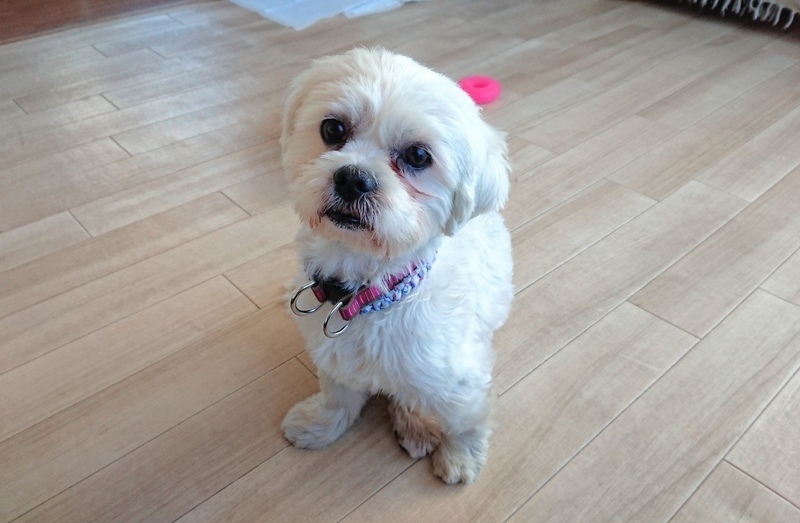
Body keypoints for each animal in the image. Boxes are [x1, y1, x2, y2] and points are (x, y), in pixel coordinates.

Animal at [280, 48, 513, 484]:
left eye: (418, 156)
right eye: (333, 129)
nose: (353, 178)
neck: (369, 292)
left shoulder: (460, 378)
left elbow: (469, 420)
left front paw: (460, 456)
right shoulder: (334, 357)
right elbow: (337, 396)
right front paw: (321, 425)